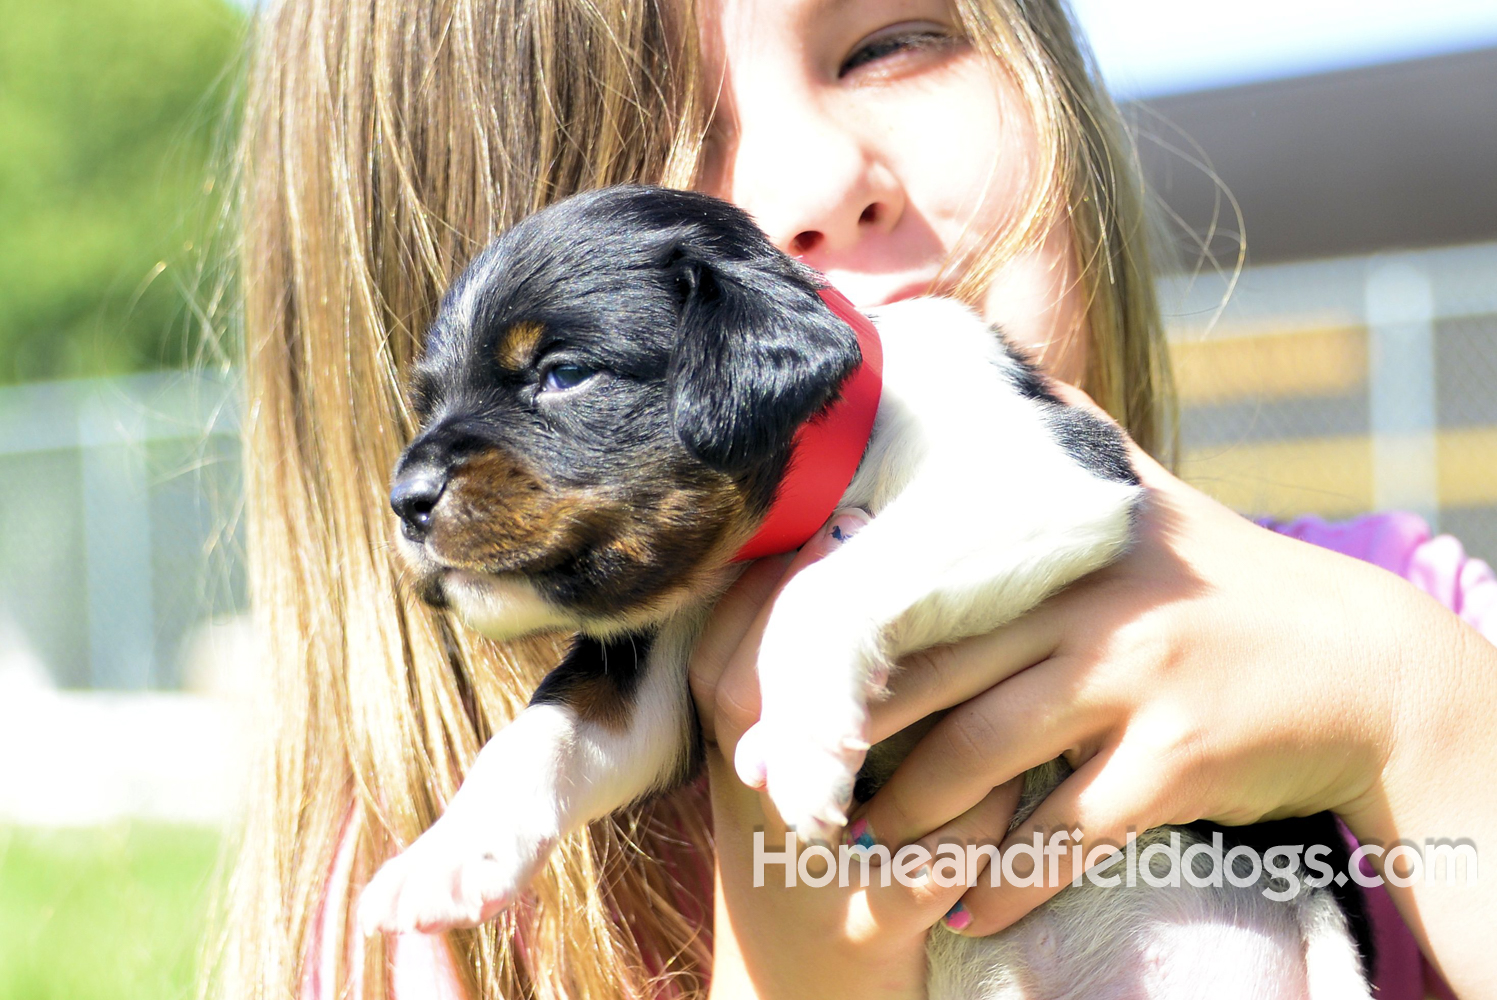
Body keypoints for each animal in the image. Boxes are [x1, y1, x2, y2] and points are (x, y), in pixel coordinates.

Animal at [356, 183, 1371, 994]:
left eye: (562, 374)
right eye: (428, 402)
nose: (405, 501)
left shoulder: (1044, 473)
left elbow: (825, 584)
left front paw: (802, 743)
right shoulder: (652, 668)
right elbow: (545, 734)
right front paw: (445, 857)